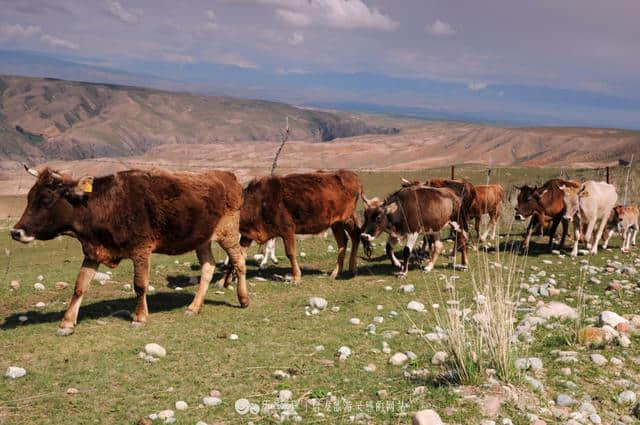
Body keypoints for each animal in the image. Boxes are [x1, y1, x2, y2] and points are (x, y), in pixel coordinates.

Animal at [11, 166, 250, 334]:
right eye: (29, 197)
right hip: (202, 239)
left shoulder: (141, 249)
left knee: (239, 261)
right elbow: (80, 285)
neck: (105, 206)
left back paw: (243, 299)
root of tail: (228, 176)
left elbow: (140, 285)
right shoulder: (93, 252)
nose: (15, 232)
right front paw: (67, 323)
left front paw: (140, 318)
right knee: (208, 267)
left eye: (46, 199)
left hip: (228, 232)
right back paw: (193, 307)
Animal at [230, 170, 362, 284]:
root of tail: (350, 175)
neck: (259, 203)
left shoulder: (287, 228)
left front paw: (296, 277)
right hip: (336, 223)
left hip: (346, 218)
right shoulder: (248, 235)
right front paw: (233, 277)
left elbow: (290, 253)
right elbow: (238, 255)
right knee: (343, 241)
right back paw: (336, 273)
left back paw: (352, 269)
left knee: (356, 234)